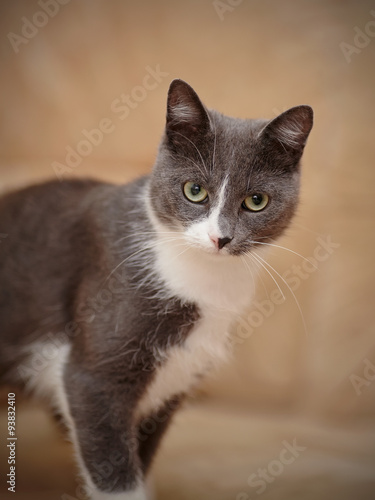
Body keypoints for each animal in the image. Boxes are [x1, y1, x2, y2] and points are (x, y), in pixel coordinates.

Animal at [0, 80, 314, 498]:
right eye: (194, 190)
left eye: (256, 201)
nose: (220, 238)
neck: (204, 279)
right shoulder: (93, 378)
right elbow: (114, 468)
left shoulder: (176, 376)